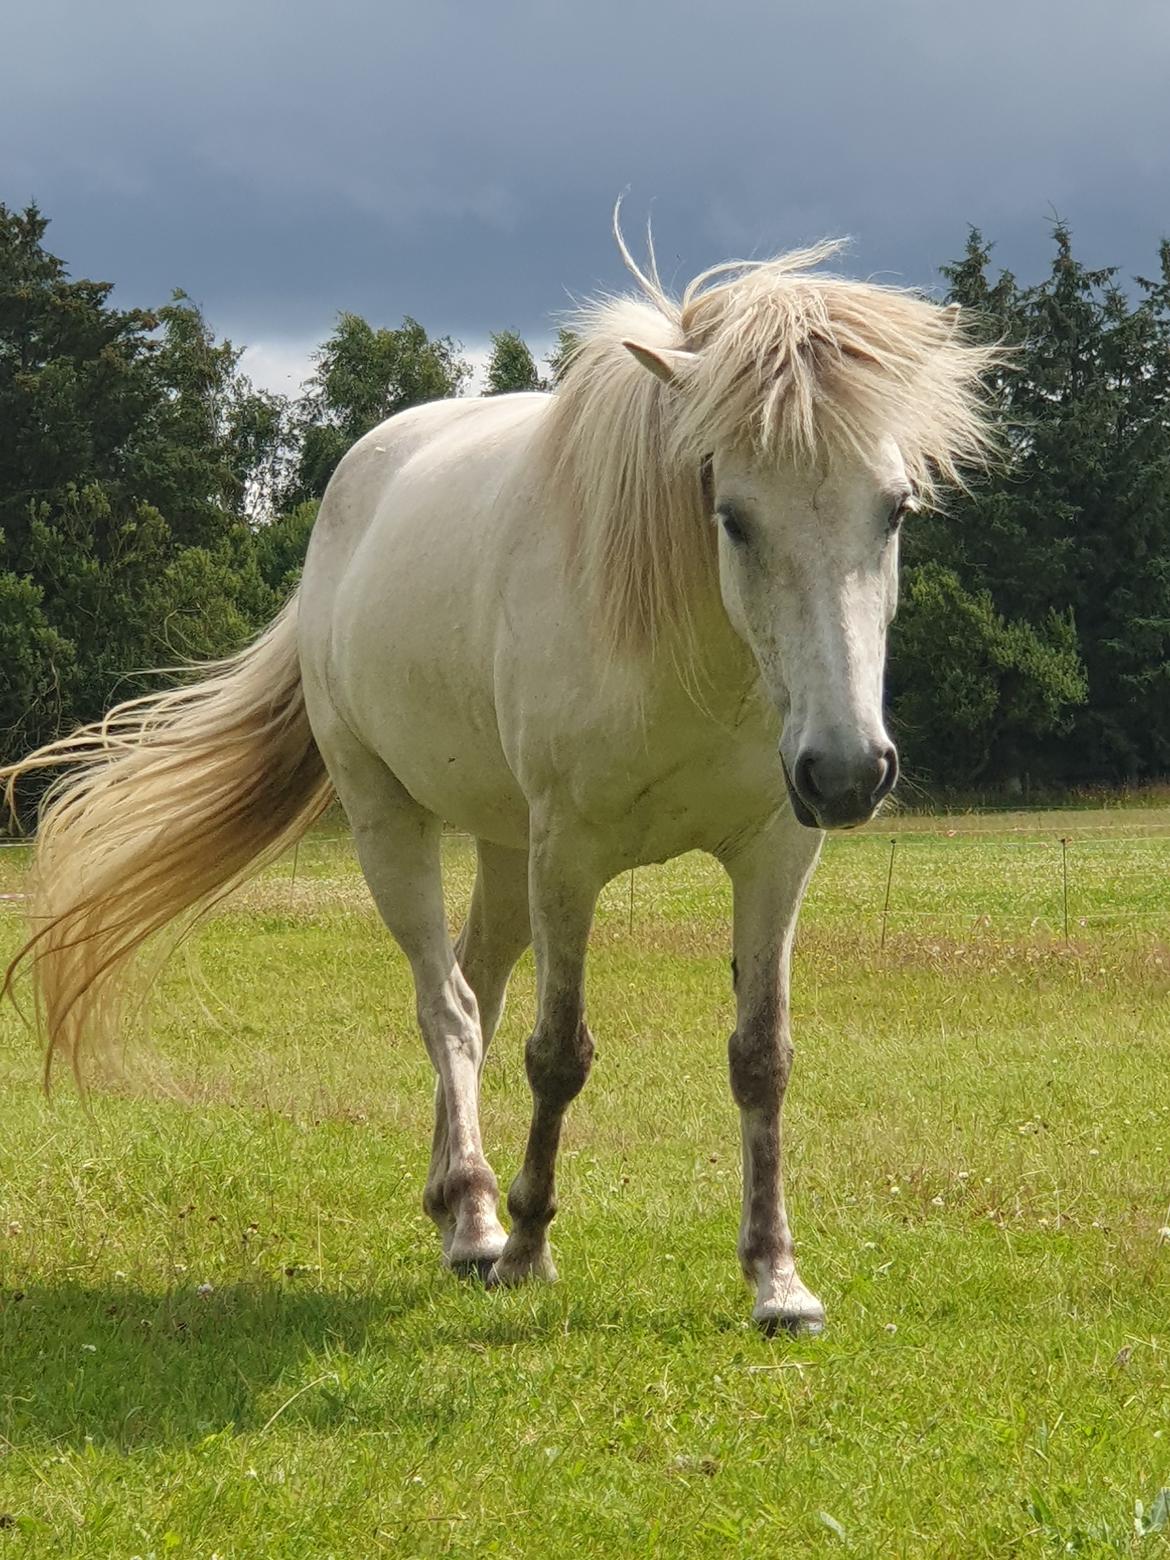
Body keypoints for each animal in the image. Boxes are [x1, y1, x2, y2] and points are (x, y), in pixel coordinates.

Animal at [2, 226, 998, 1335]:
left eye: (895, 510)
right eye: (734, 516)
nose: (848, 769)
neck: (695, 654)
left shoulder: (777, 854)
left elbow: (760, 1057)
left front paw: (776, 1279)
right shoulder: (570, 856)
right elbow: (557, 1051)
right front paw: (527, 1246)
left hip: (502, 843)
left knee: (473, 987)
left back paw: (452, 1200)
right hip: (392, 825)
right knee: (446, 1006)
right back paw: (478, 1219)